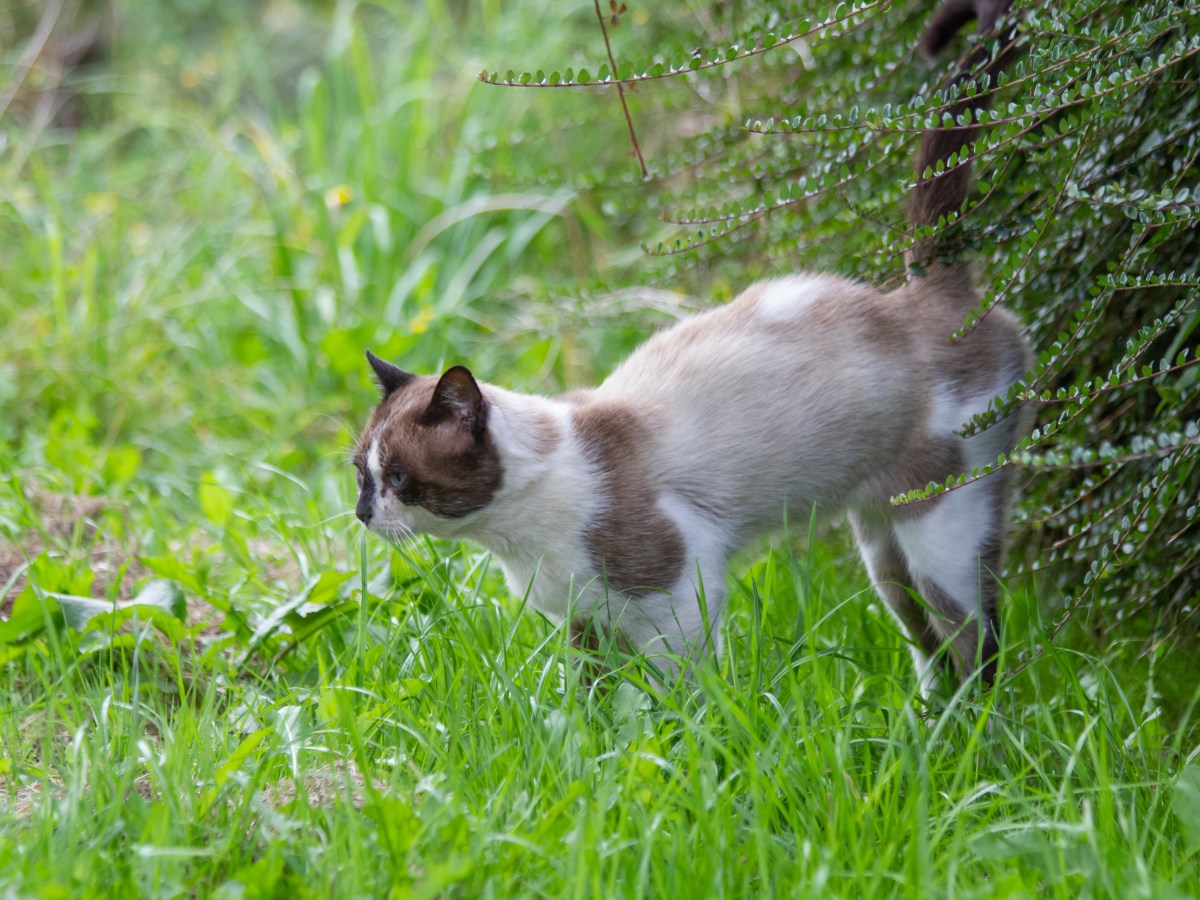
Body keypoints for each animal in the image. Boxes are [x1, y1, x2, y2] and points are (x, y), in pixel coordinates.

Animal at [350, 0, 1027, 691]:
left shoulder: (676, 598)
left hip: (941, 532)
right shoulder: (585, 623)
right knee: (927, 645)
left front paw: (684, 723)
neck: (517, 536)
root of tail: (923, 289)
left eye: (399, 479)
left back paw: (976, 722)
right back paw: (928, 720)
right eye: (360, 474)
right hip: (882, 547)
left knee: (976, 643)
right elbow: (595, 705)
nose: (362, 514)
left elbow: (681, 703)